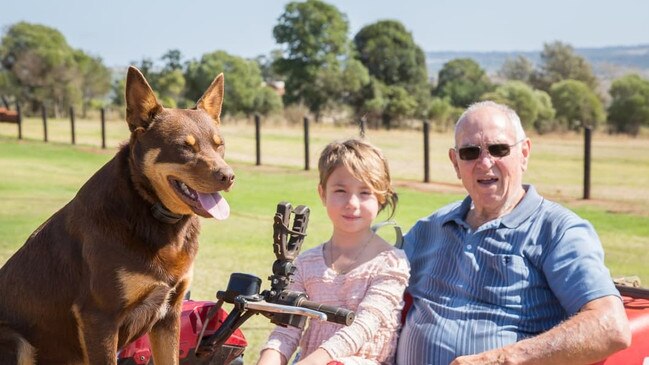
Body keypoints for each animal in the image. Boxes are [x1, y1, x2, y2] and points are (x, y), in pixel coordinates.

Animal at [0, 67, 233, 362]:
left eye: (219, 145)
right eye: (185, 147)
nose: (228, 176)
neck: (149, 209)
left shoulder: (169, 314)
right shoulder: (99, 316)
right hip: (16, 341)